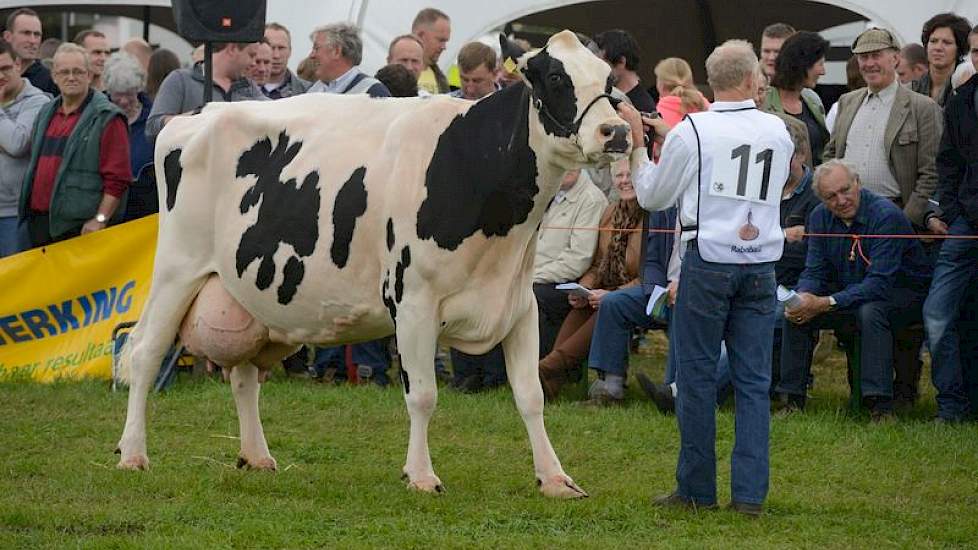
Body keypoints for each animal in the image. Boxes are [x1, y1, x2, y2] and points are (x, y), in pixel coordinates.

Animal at [116, 33, 632, 500]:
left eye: (609, 78)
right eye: (555, 77)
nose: (618, 132)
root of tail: (196, 115)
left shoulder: (519, 303)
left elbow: (530, 395)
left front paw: (555, 478)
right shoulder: (413, 300)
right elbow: (422, 395)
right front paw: (421, 476)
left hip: (256, 300)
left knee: (244, 375)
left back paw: (257, 456)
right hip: (177, 269)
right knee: (144, 353)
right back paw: (132, 454)